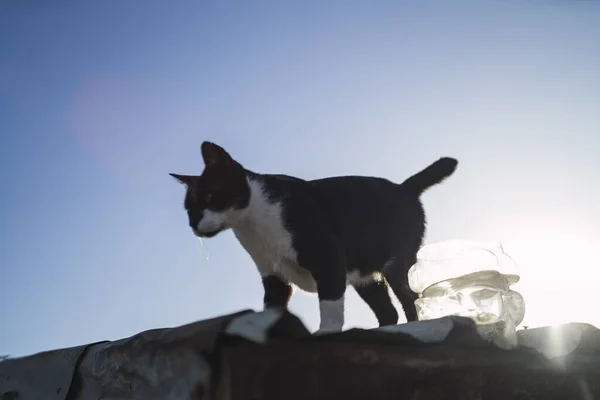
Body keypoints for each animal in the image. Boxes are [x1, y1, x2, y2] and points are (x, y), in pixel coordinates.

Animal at [171, 142, 458, 332]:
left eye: (210, 196)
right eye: (188, 209)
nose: (193, 225)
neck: (254, 224)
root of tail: (404, 187)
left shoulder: (328, 255)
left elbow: (330, 303)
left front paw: (325, 331)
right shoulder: (272, 275)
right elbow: (271, 307)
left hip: (397, 264)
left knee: (411, 300)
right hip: (365, 276)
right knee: (388, 311)